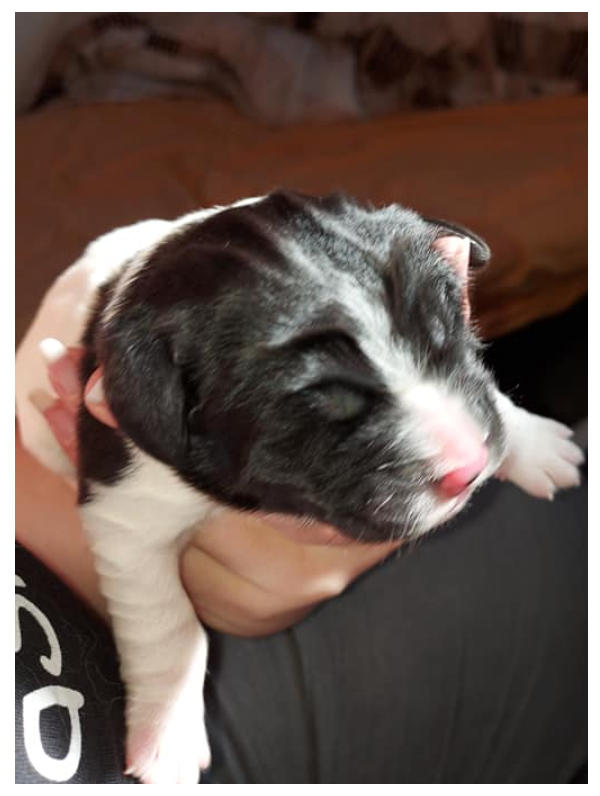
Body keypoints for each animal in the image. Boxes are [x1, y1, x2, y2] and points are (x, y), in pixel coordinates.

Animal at [16, 191, 584, 783]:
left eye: (448, 341)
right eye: (329, 404)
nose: (468, 465)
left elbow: (484, 394)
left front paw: (534, 443)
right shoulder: (123, 506)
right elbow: (168, 624)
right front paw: (166, 739)